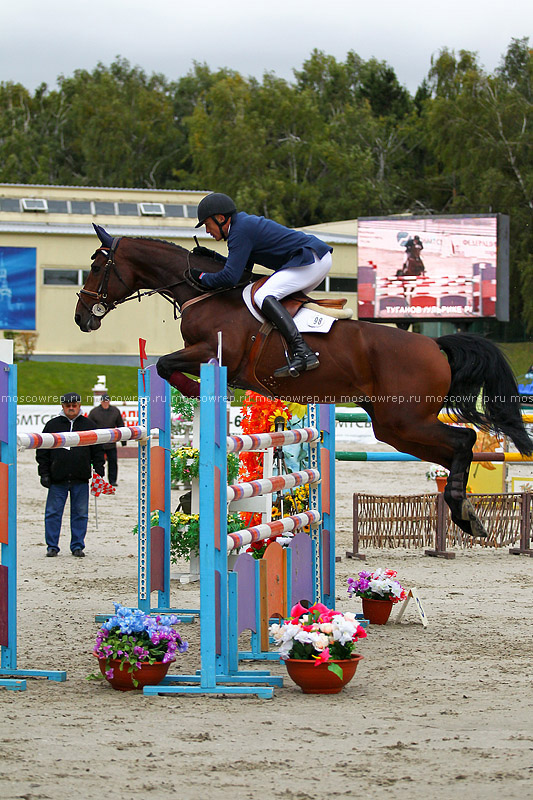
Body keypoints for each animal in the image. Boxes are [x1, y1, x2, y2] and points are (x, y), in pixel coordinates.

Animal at [75, 223, 532, 536]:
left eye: (97, 266)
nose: (81, 318)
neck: (204, 292)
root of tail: (435, 346)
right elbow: (165, 365)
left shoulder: (210, 351)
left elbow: (166, 365)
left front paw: (198, 391)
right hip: (394, 427)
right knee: (450, 451)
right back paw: (467, 514)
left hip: (405, 419)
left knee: (464, 441)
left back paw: (464, 514)